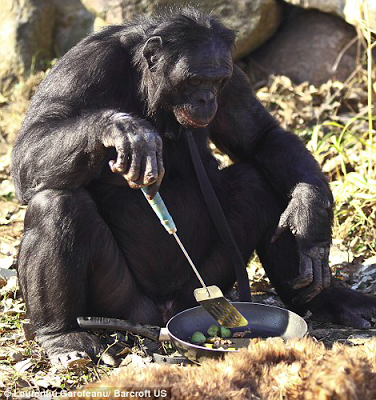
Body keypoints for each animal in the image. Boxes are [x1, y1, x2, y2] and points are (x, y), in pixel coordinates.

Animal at [10, 7, 374, 368]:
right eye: (195, 80)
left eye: (216, 81)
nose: (206, 98)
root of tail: (163, 316)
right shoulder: (82, 66)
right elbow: (30, 146)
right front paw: (123, 129)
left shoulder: (234, 81)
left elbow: (259, 137)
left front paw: (310, 212)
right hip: (123, 302)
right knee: (55, 203)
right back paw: (62, 335)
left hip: (205, 284)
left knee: (260, 180)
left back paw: (328, 299)